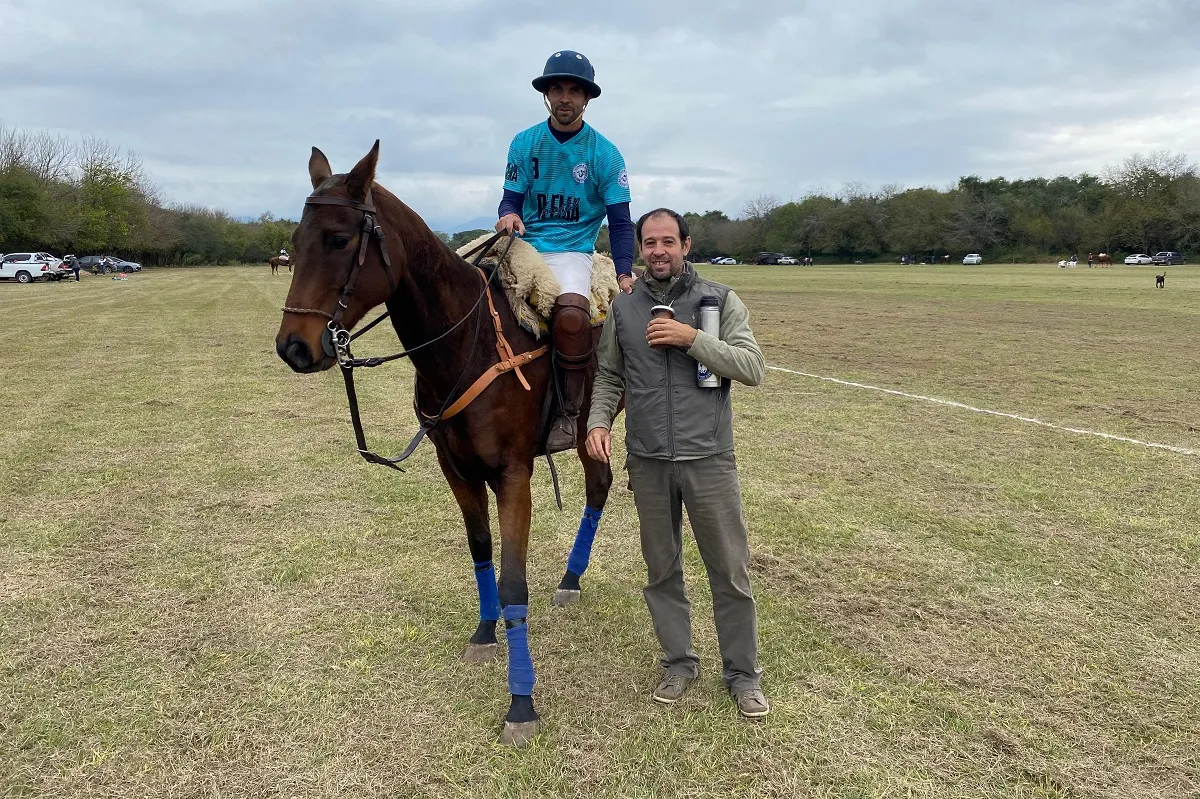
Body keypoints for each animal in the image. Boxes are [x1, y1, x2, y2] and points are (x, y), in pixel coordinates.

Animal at [274, 139, 614, 743]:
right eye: (294, 240)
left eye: (338, 239)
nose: (292, 347)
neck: (462, 344)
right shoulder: (455, 467)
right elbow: (480, 551)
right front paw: (484, 633)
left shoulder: (514, 473)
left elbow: (514, 582)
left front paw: (521, 704)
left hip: (591, 428)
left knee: (602, 484)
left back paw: (573, 580)